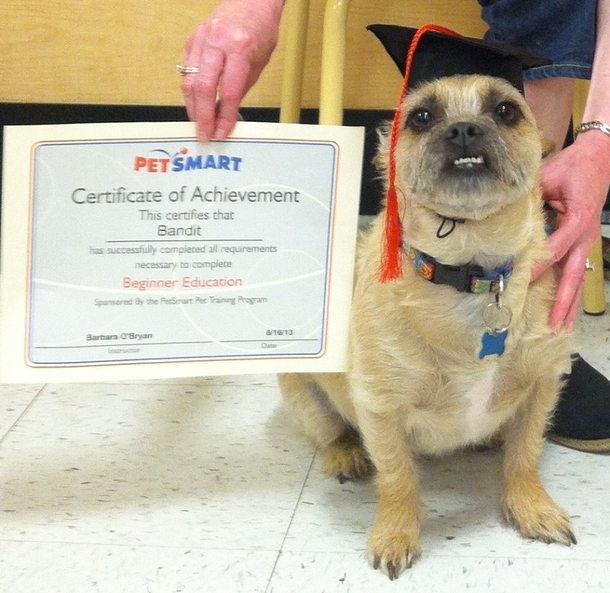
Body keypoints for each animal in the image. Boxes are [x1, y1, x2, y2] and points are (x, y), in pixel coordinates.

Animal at [280, 73, 576, 580]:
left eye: (506, 111)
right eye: (421, 117)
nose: (463, 129)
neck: (472, 272)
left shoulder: (543, 382)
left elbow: (525, 454)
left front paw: (532, 507)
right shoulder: (380, 407)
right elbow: (397, 475)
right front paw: (396, 533)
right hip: (303, 391)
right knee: (330, 430)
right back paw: (345, 453)